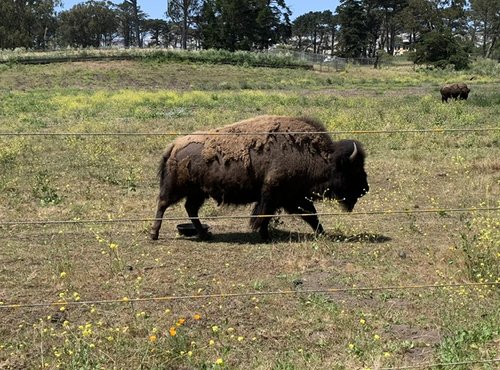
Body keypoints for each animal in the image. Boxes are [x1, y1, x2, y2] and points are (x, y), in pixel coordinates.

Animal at [150, 117, 370, 241]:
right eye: (354, 170)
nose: (365, 188)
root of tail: (174, 145)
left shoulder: (293, 197)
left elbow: (311, 215)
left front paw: (323, 233)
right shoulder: (274, 195)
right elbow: (264, 216)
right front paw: (264, 236)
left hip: (198, 192)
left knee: (190, 209)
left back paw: (205, 235)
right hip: (177, 188)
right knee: (163, 204)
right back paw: (154, 234)